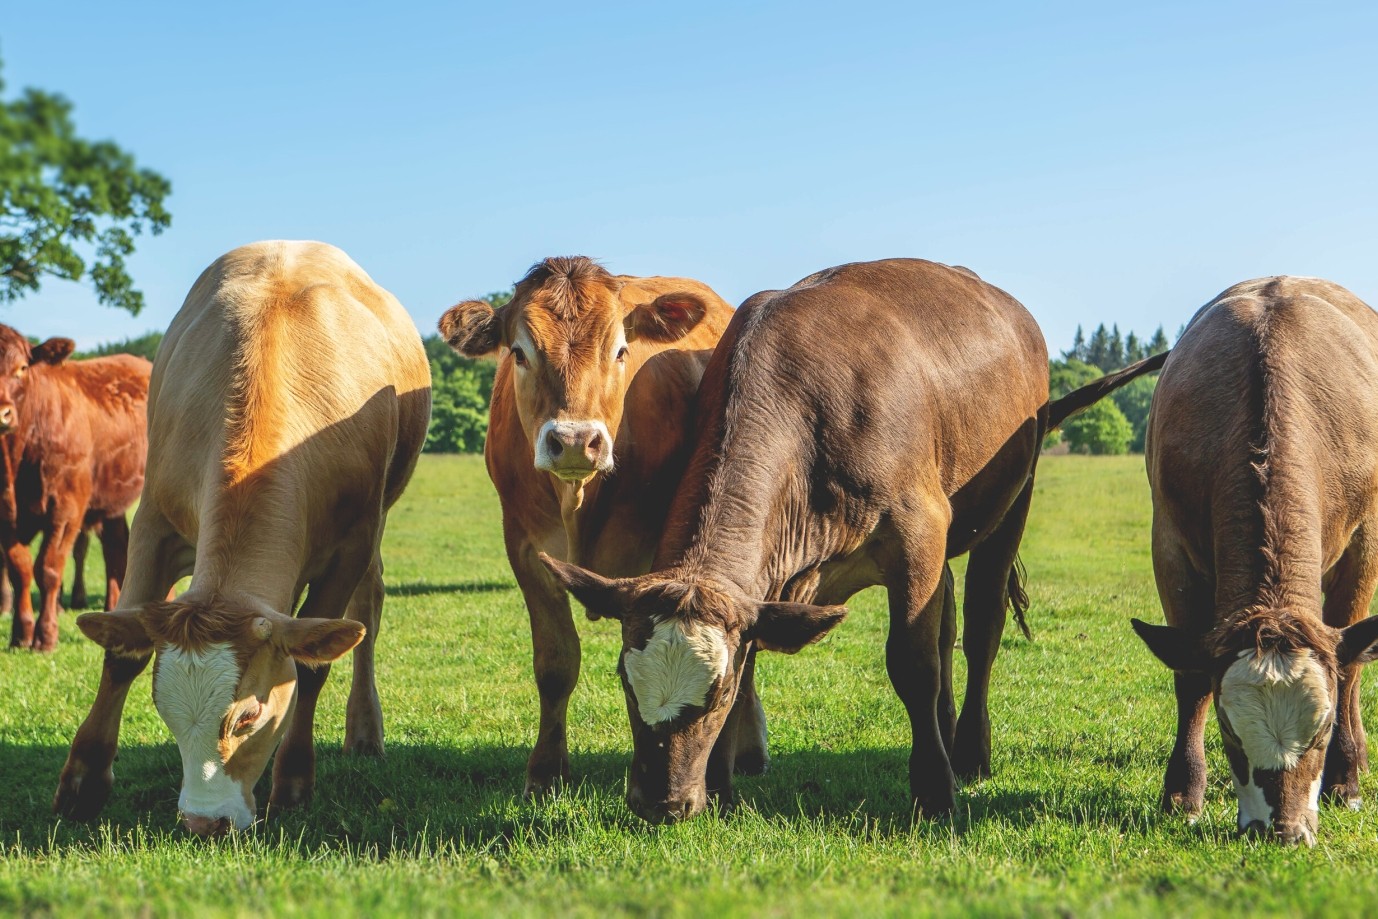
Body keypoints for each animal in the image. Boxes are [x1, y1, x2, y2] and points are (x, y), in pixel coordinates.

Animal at [0, 325, 149, 650]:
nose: (2, 413)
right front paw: (21, 633)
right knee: (116, 547)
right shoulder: (6, 514)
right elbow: (20, 569)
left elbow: (48, 569)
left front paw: (45, 636)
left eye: (22, 368)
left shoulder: (66, 508)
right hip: (111, 501)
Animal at [53, 240, 432, 836]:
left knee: (367, 614)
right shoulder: (153, 525)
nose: (203, 822)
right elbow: (123, 652)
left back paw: (364, 728)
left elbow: (312, 666)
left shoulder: (352, 544)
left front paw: (294, 782)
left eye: (247, 717)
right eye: (163, 709)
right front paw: (83, 781)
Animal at [437, 256, 739, 794]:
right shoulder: (525, 548)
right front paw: (545, 770)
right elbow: (555, 662)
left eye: (620, 350)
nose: (576, 441)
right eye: (519, 353)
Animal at [541, 258, 1167, 823]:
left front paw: (934, 790)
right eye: (626, 682)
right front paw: (720, 786)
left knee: (983, 625)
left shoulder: (918, 531)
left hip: (1014, 498)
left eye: (714, 694)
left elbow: (913, 662)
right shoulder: (768, 587)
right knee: (948, 624)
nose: (659, 802)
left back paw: (967, 752)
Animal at [1132, 276, 1378, 846]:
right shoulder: (1169, 543)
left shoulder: (1365, 540)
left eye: (1322, 729)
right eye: (1228, 730)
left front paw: (1346, 778)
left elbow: (1351, 666)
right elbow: (1191, 676)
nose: (1283, 831)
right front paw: (1183, 794)